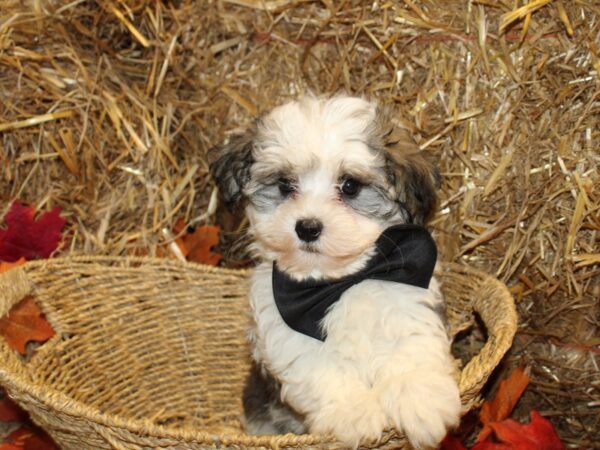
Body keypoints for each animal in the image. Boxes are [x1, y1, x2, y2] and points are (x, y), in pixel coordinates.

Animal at [210, 95, 460, 446]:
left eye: (350, 186)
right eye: (284, 185)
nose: (308, 227)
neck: (340, 281)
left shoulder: (408, 297)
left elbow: (411, 347)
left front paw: (421, 400)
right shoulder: (289, 333)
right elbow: (324, 372)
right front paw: (354, 413)